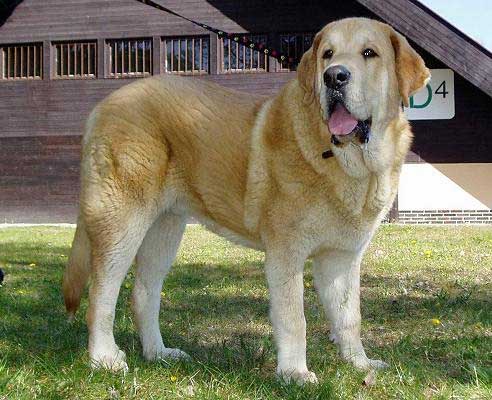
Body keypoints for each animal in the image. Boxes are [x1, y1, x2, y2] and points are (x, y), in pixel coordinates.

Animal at [63, 17, 428, 382]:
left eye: (369, 53)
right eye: (328, 54)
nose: (334, 76)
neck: (346, 162)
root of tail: (104, 105)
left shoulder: (341, 258)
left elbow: (349, 317)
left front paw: (360, 365)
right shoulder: (286, 253)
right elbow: (293, 318)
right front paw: (295, 373)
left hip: (164, 231)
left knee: (143, 294)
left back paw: (158, 354)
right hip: (122, 223)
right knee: (101, 293)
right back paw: (103, 358)